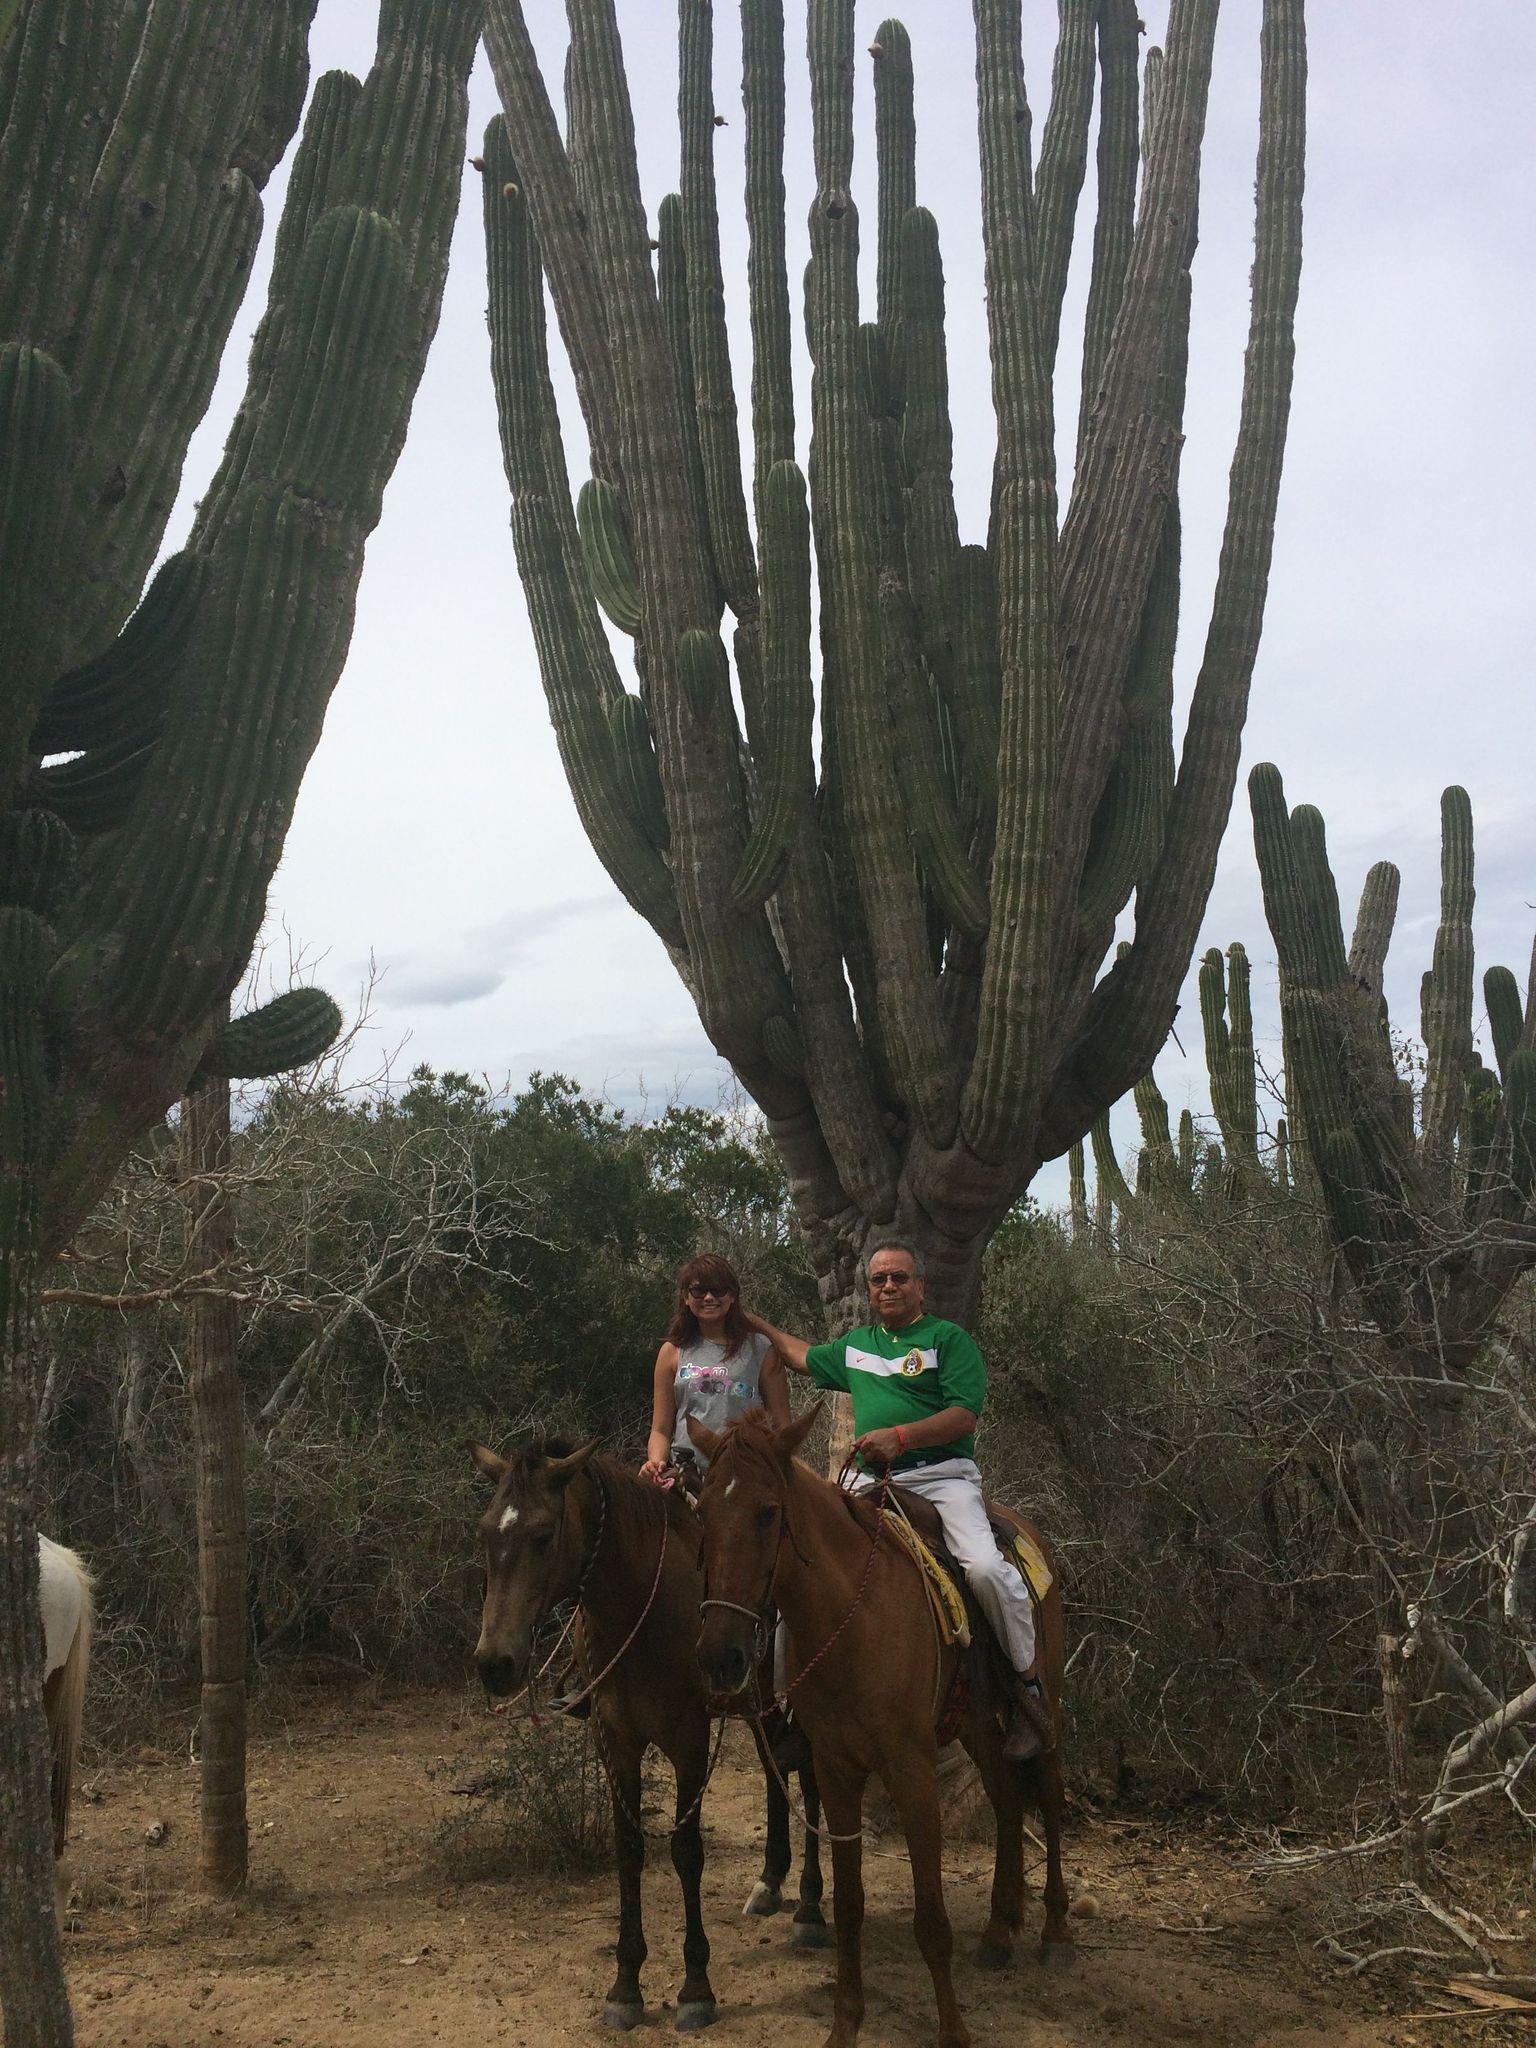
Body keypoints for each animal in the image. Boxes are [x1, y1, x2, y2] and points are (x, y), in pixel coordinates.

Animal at [468, 1441, 831, 2031]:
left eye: (544, 1535)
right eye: (485, 1534)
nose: (494, 1664)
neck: (641, 1606)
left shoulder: (688, 1741)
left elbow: (686, 1851)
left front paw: (696, 1988)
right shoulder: (615, 1742)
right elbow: (629, 1849)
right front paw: (625, 1987)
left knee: (812, 1783)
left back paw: (809, 1908)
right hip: (759, 1707)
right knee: (775, 1771)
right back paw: (770, 1883)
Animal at [696, 1409, 1073, 2048]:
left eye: (767, 1511)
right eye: (701, 1510)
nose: (720, 1656)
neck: (853, 1616)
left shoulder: (911, 1769)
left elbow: (931, 1918)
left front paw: (952, 2031)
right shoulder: (836, 1769)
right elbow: (849, 1906)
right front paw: (845, 2024)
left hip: (1046, 1707)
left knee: (1045, 1795)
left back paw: (1055, 1932)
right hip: (976, 1725)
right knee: (1003, 1798)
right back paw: (999, 1932)